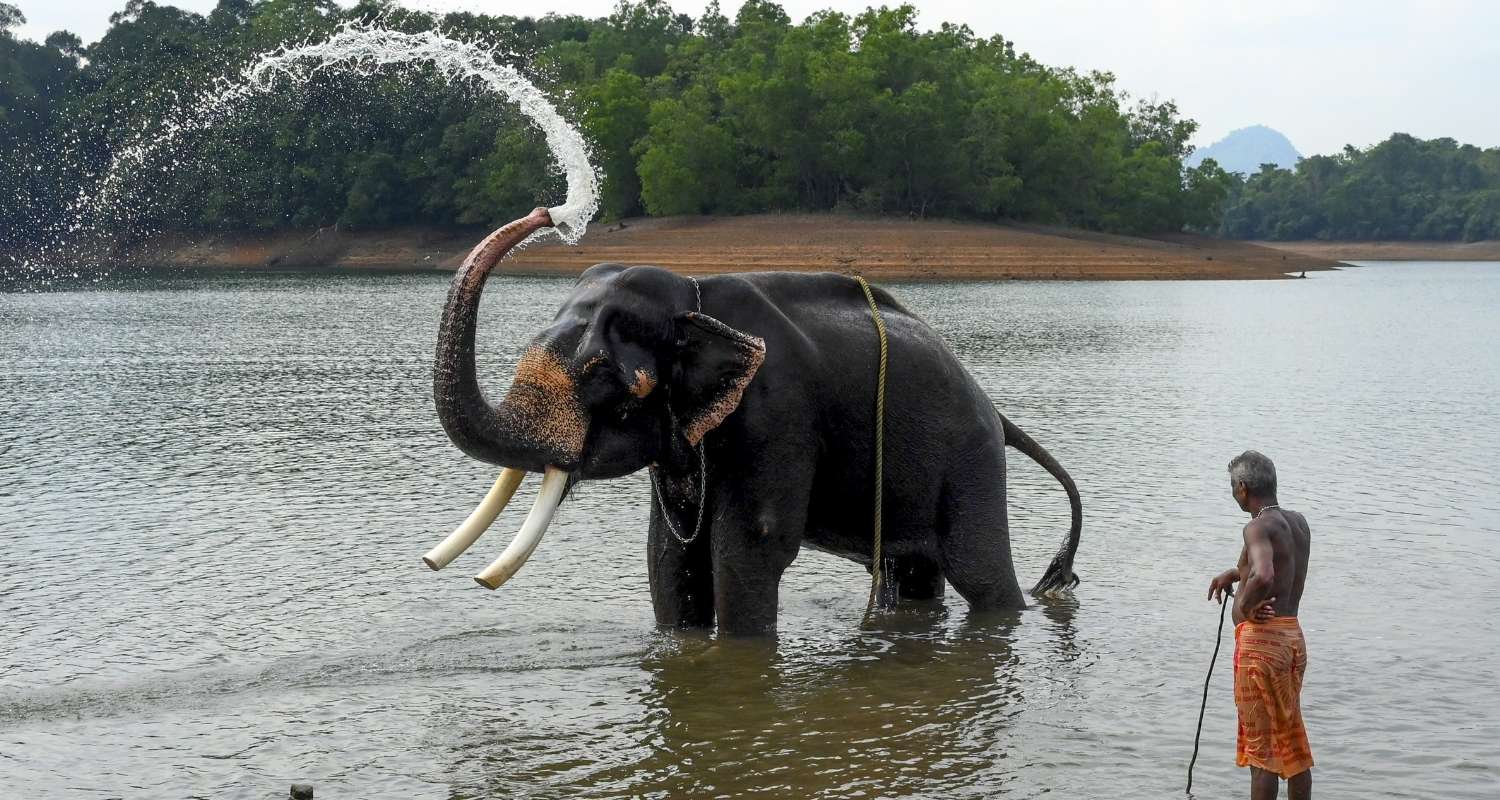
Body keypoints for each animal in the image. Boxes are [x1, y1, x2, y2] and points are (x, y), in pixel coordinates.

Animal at [427, 208, 1082, 636]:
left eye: (600, 374)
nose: (547, 212)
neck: (693, 298)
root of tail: (995, 410)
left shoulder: (776, 413)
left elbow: (747, 547)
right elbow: (670, 553)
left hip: (970, 462)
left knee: (983, 574)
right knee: (913, 573)